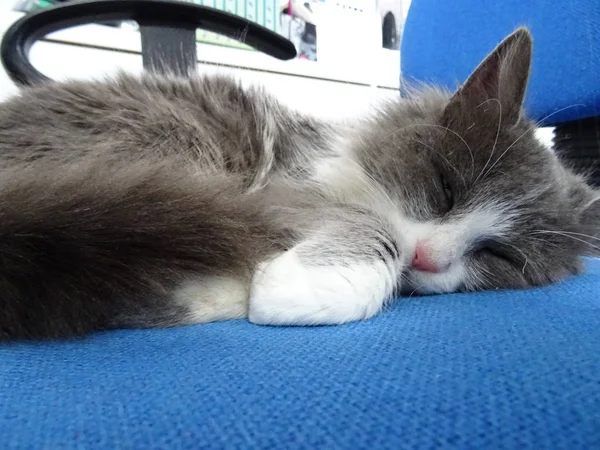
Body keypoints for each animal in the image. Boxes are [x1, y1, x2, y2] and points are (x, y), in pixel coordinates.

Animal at [0, 27, 596, 338]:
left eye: (501, 257)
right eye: (445, 186)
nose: (427, 258)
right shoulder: (282, 188)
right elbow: (372, 226)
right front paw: (308, 287)